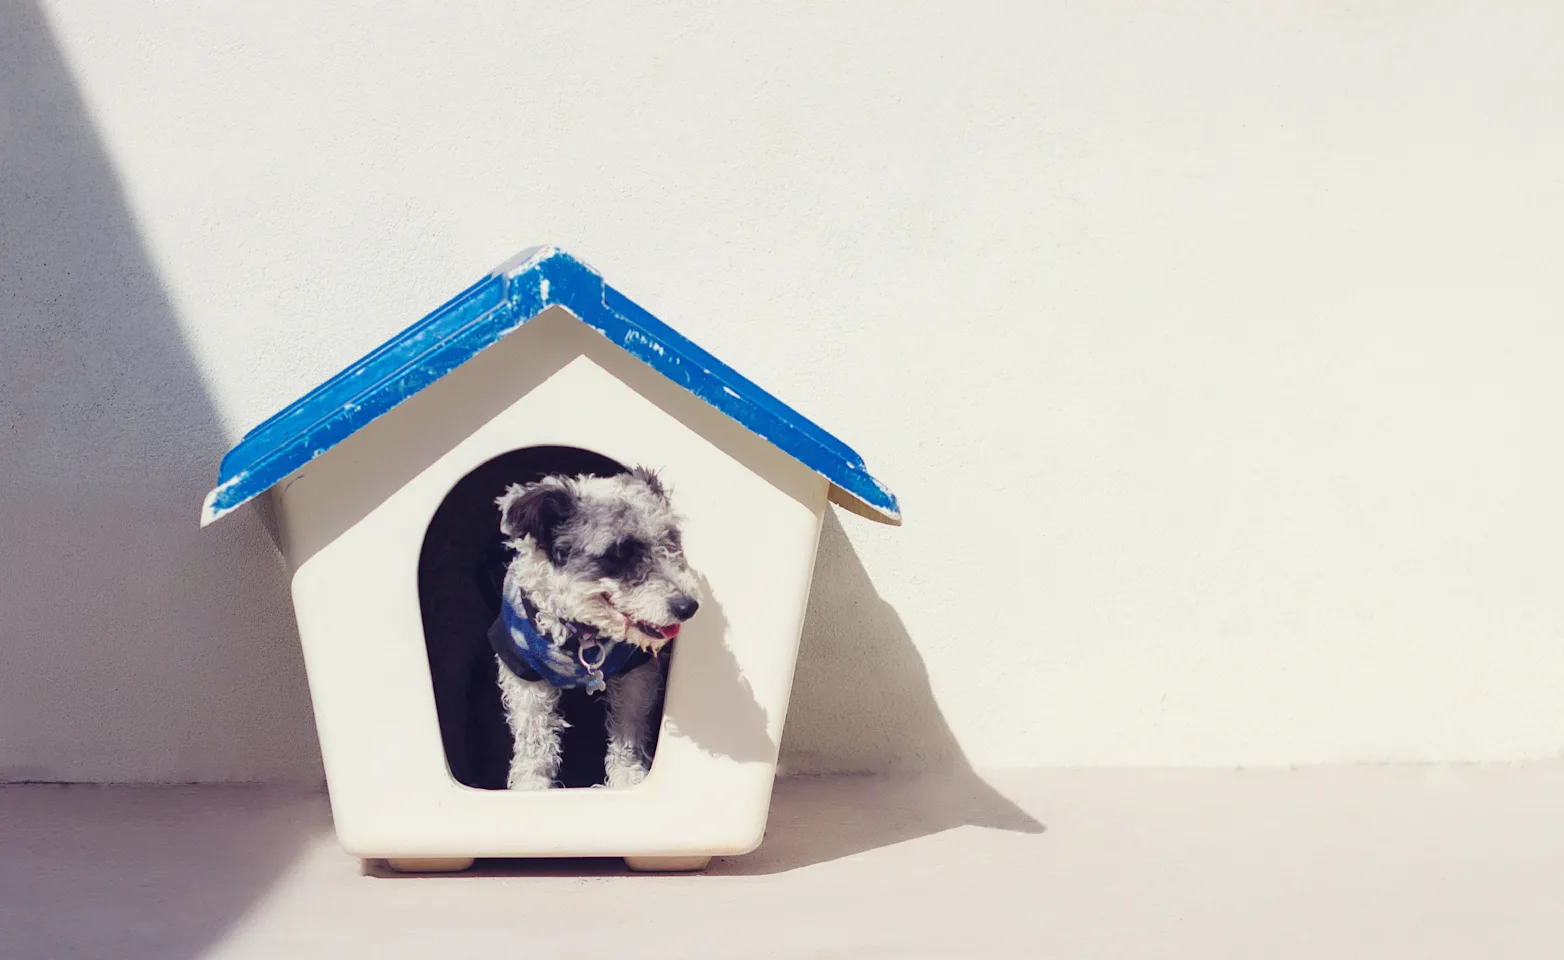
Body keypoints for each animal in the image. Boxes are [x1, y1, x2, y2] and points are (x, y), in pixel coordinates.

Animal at [487, 465, 703, 791]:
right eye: (619, 553)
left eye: (670, 541)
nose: (688, 607)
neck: (583, 637)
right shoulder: (522, 674)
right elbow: (534, 739)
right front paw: (531, 786)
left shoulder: (635, 674)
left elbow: (628, 729)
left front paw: (627, 778)